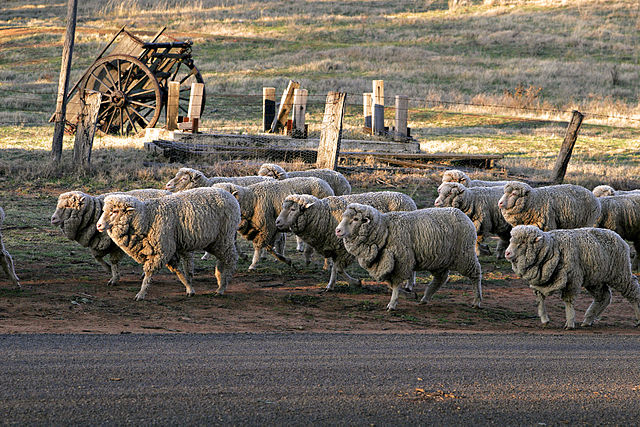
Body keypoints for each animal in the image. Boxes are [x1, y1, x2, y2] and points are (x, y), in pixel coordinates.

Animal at [96, 187, 240, 301]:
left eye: (115, 211)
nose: (98, 225)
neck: (146, 218)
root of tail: (231, 196)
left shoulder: (162, 249)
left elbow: (149, 273)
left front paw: (141, 294)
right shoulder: (169, 249)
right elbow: (177, 270)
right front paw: (189, 288)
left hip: (225, 236)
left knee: (231, 259)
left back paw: (222, 288)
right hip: (215, 241)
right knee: (222, 259)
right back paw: (220, 280)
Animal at [275, 192, 417, 290]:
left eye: (293, 209)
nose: (277, 222)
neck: (325, 215)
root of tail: (408, 199)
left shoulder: (344, 250)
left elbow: (338, 269)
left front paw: (357, 283)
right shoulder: (335, 248)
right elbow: (334, 268)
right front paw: (330, 286)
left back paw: (409, 285)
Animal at [335, 203, 482, 311]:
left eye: (355, 219)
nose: (337, 230)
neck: (384, 230)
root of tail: (463, 215)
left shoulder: (401, 261)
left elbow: (395, 283)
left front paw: (392, 304)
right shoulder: (386, 264)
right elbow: (390, 283)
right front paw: (406, 295)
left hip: (465, 255)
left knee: (475, 274)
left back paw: (477, 301)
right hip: (439, 259)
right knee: (441, 278)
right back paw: (425, 298)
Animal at [505, 225, 640, 329]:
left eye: (522, 243)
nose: (507, 253)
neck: (551, 249)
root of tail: (617, 236)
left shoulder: (572, 279)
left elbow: (568, 301)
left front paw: (569, 323)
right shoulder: (541, 281)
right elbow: (540, 299)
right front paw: (544, 319)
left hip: (620, 272)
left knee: (632, 290)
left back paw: (638, 318)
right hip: (595, 279)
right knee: (604, 297)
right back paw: (588, 320)